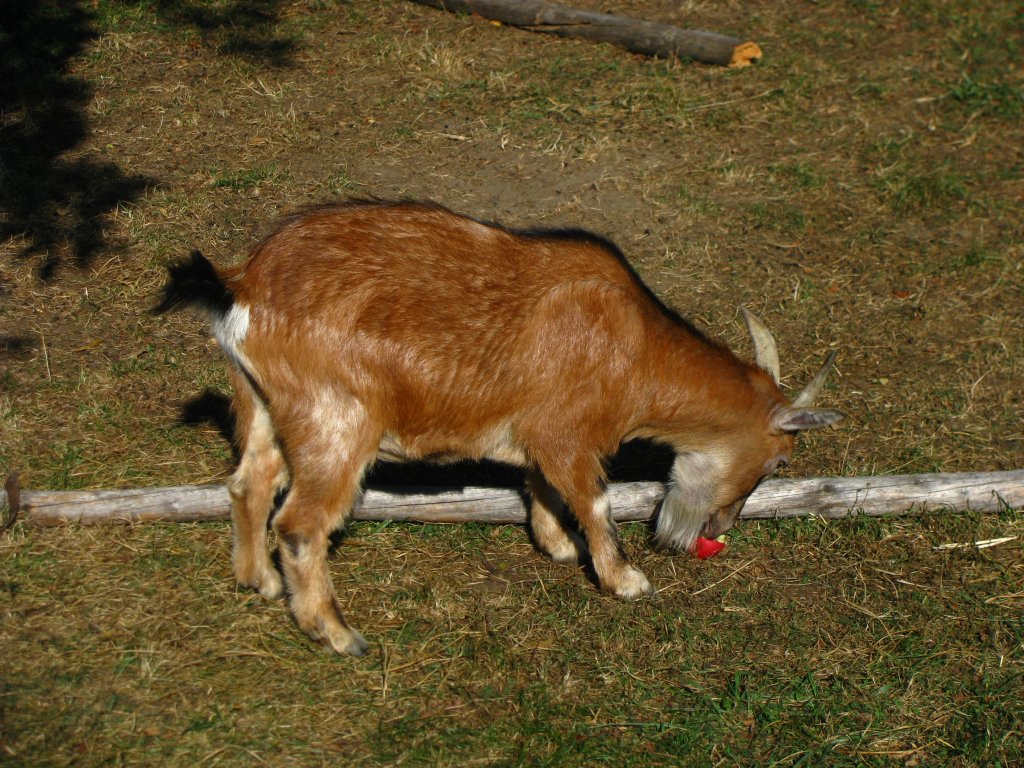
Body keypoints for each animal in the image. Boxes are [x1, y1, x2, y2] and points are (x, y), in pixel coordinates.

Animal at [155, 198, 843, 655]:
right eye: (778, 461)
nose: (716, 532)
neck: (639, 349)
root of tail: (242, 286)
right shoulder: (568, 434)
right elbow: (593, 501)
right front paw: (625, 580)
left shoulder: (540, 435)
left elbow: (542, 486)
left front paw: (556, 545)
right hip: (337, 420)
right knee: (300, 523)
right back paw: (338, 633)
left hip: (264, 404)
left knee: (248, 483)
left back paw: (261, 582)